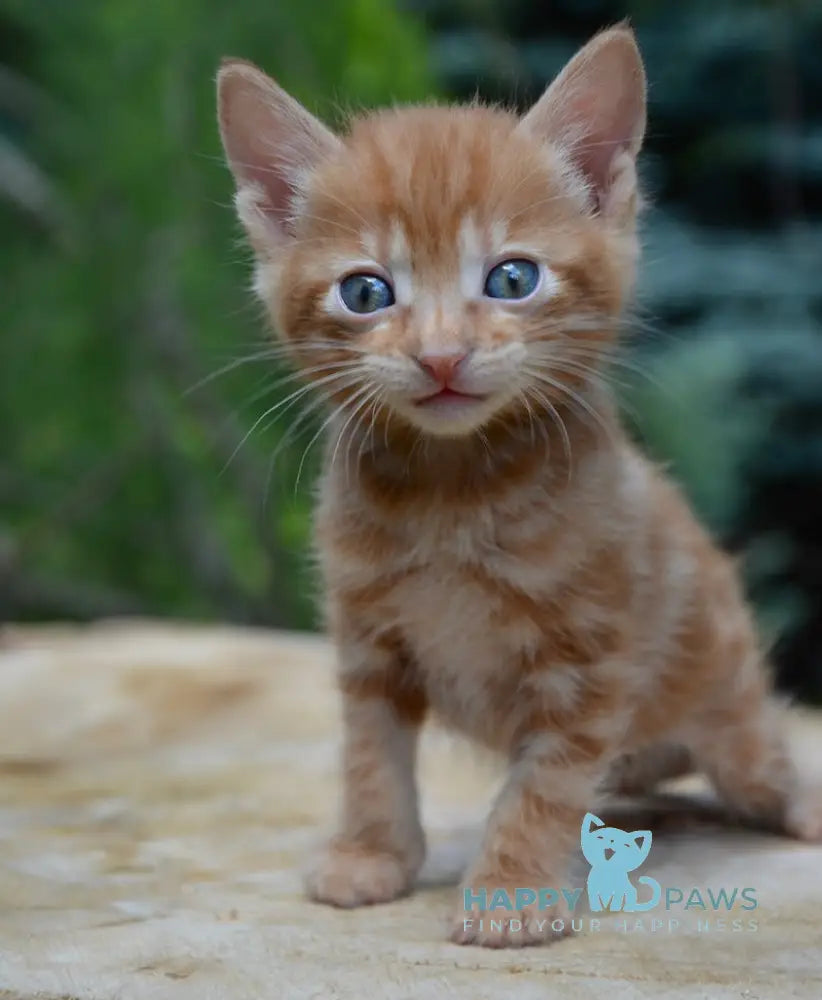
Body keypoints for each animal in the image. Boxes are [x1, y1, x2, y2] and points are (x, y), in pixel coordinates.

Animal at [216, 23, 820, 944]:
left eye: (511, 279)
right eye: (366, 291)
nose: (439, 355)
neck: (452, 493)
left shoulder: (589, 664)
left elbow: (545, 786)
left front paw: (512, 890)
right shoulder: (367, 645)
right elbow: (370, 758)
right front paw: (371, 853)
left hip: (731, 708)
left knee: (763, 761)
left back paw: (795, 804)